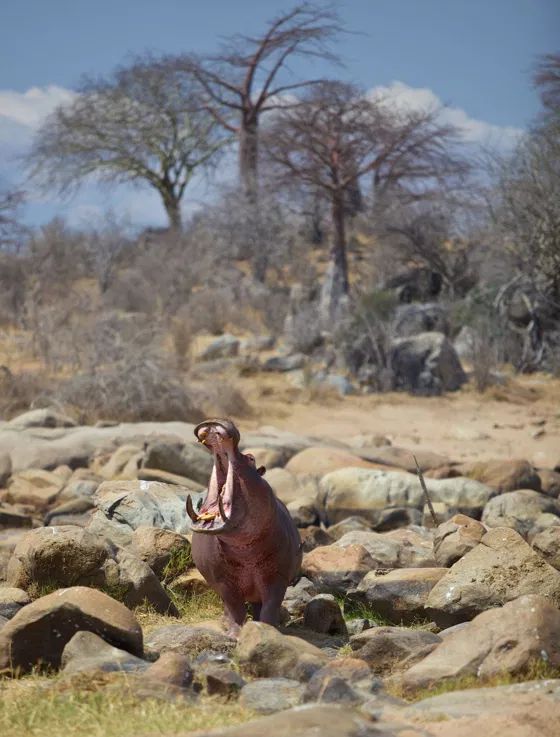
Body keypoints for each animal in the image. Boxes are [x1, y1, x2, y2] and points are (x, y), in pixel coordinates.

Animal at [187, 418, 302, 636]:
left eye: (251, 458)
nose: (223, 420)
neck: (244, 549)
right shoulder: (224, 581)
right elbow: (234, 607)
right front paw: (235, 634)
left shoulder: (278, 578)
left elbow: (270, 607)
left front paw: (266, 631)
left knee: (258, 605)